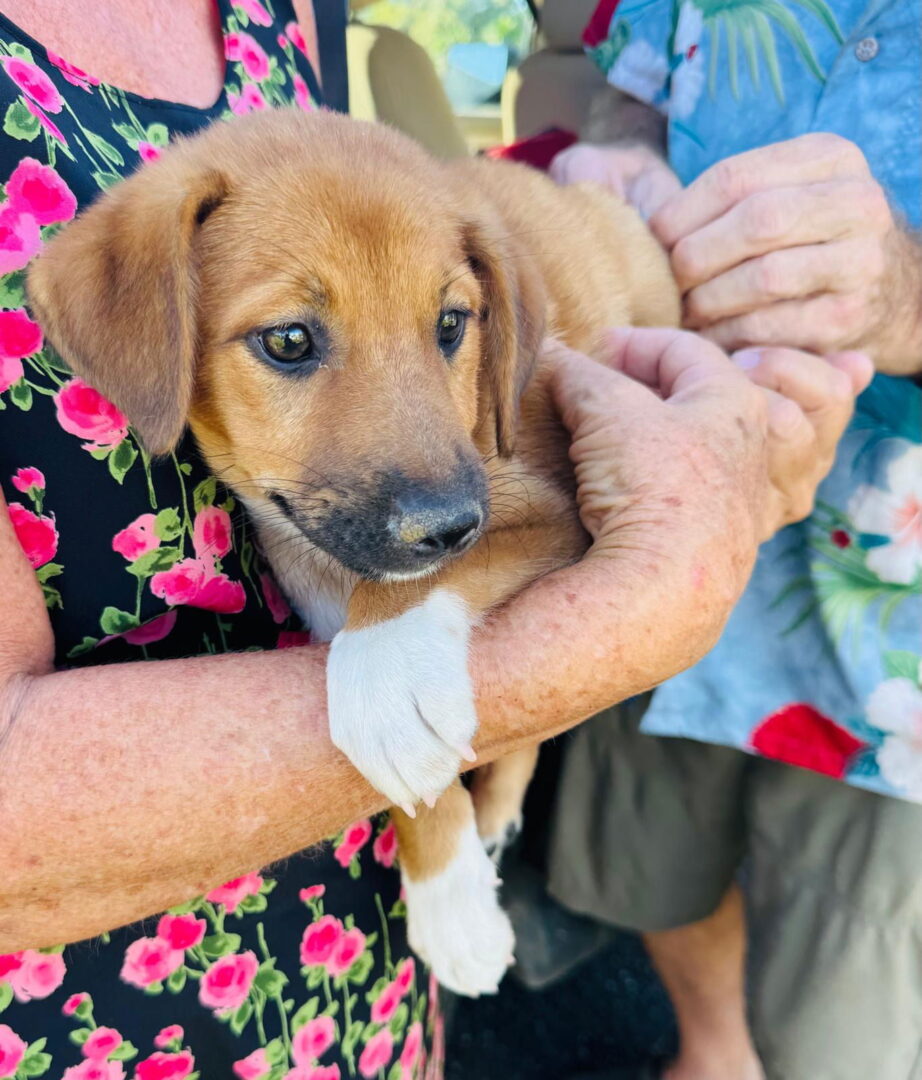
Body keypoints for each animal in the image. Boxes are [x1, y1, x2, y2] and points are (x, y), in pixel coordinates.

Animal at [29, 108, 680, 996]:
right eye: (289, 340)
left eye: (452, 325)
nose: (449, 526)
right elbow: (406, 774)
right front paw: (450, 896)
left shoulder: (548, 511)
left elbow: (400, 616)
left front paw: (389, 672)